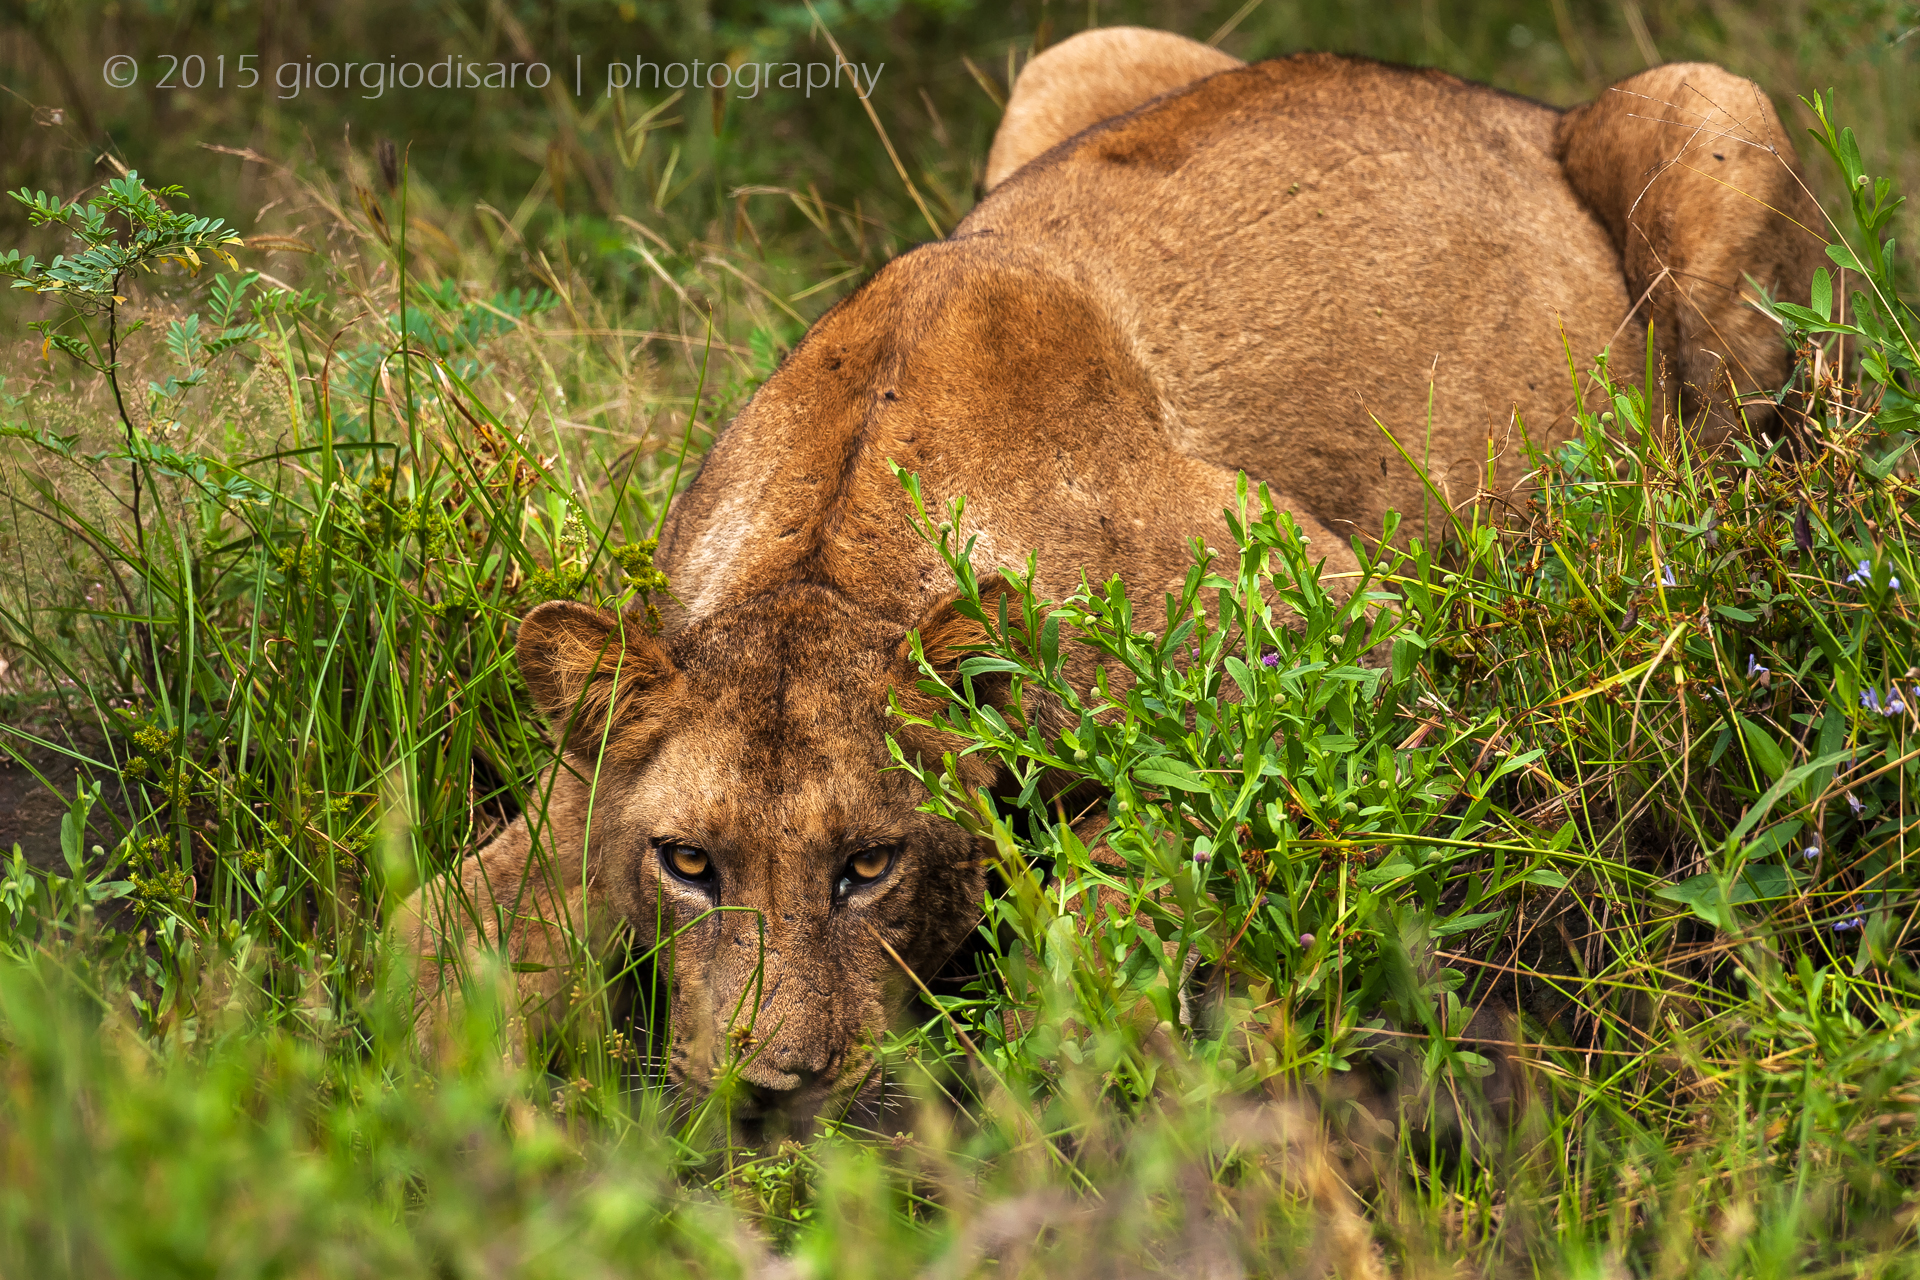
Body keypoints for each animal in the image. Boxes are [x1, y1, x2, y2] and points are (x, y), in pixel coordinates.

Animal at [402, 29, 1822, 1131]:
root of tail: (1520, 103)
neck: (833, 553)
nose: (772, 1090)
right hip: (1074, 58)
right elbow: (427, 938)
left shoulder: (1367, 650)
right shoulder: (586, 780)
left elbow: (1095, 926)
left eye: (870, 863)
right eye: (689, 862)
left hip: (1721, 125)